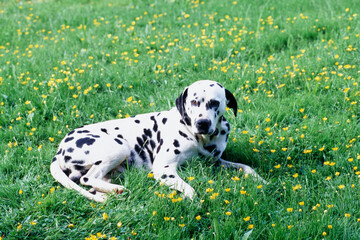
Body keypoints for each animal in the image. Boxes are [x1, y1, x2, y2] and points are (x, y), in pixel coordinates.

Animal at [50, 79, 264, 202]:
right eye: (194, 101)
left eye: (215, 103)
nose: (202, 122)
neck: (199, 138)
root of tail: (59, 150)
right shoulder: (164, 169)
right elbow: (189, 188)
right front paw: (191, 199)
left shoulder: (216, 161)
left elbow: (246, 167)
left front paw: (260, 180)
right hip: (119, 147)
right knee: (87, 178)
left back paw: (110, 192)